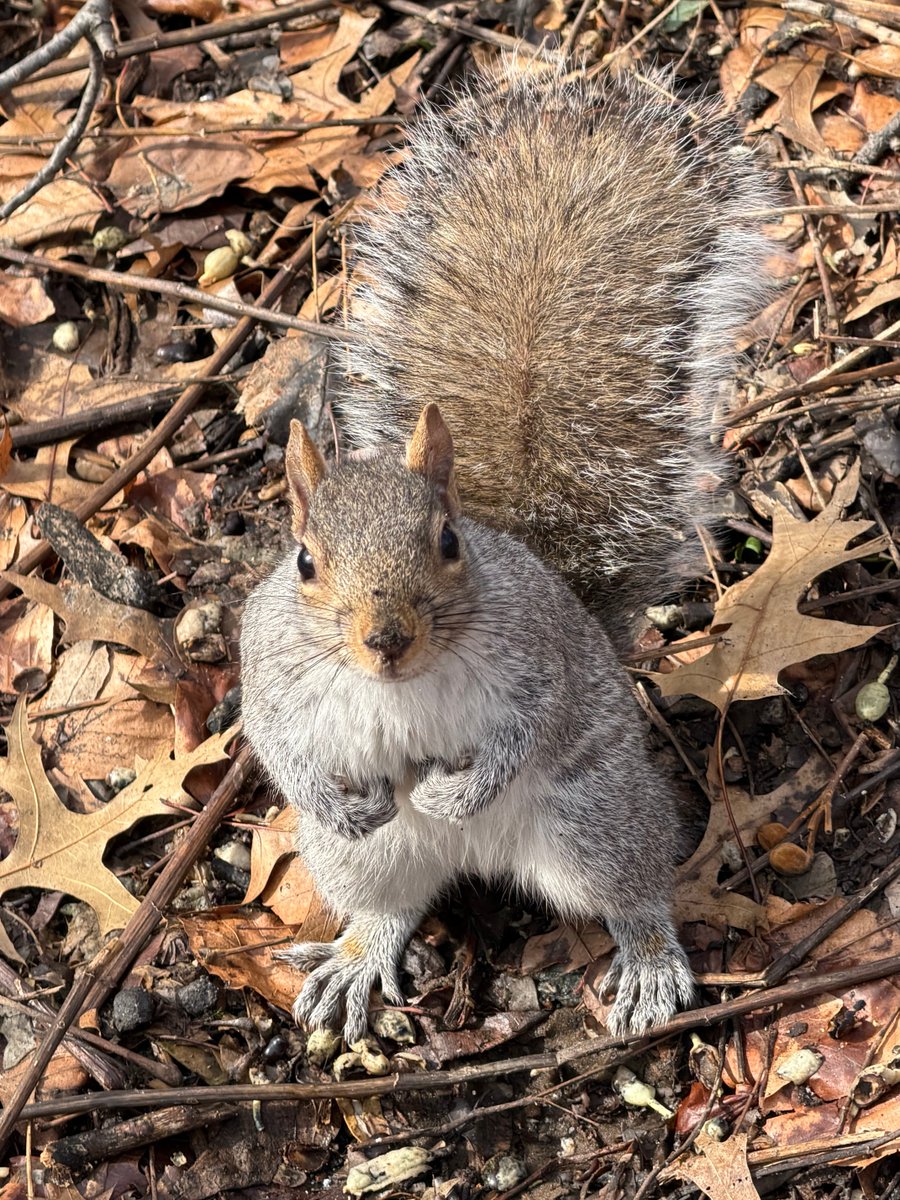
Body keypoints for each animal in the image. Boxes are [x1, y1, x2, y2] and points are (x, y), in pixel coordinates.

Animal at [239, 61, 774, 1042]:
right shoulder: (270, 673)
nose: (386, 639)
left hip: (594, 816)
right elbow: (274, 741)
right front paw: (335, 793)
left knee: (634, 888)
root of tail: (479, 860)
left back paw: (645, 957)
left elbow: (522, 729)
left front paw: (453, 789)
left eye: (448, 542)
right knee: (385, 908)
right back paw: (357, 959)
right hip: (361, 859)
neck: (401, 685)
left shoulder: (536, 663)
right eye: (304, 562)